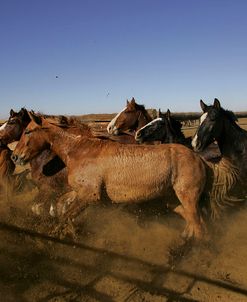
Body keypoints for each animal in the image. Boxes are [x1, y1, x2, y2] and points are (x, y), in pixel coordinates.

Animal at [12, 111, 210, 241]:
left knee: (199, 226)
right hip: (172, 199)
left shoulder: (90, 195)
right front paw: (70, 231)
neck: (79, 150)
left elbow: (64, 215)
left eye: (28, 131)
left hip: (188, 197)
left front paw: (56, 235)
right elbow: (62, 208)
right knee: (193, 220)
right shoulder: (78, 192)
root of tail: (197, 157)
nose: (15, 156)